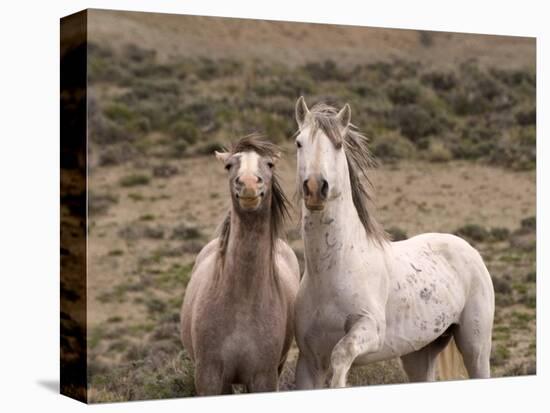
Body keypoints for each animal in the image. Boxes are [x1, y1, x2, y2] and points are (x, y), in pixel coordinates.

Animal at [294, 97, 496, 386]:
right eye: (299, 142)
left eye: (338, 144)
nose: (314, 188)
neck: (332, 271)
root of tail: (469, 249)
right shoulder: (308, 362)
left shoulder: (369, 331)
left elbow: (341, 354)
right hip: (419, 352)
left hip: (475, 346)